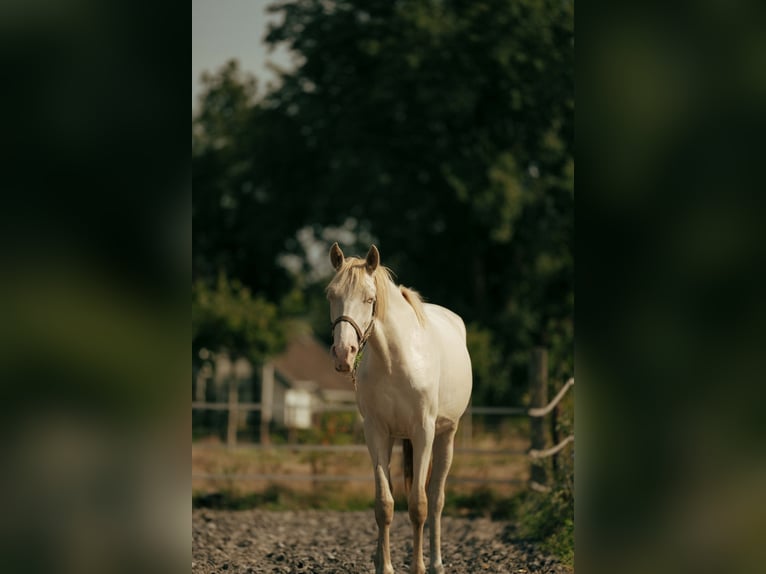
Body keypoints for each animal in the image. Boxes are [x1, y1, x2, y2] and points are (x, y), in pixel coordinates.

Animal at [326, 244, 472, 574]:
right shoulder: (376, 432)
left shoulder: (423, 432)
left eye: (369, 298)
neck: (395, 358)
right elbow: (384, 504)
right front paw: (385, 566)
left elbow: (419, 505)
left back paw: (436, 563)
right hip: (394, 438)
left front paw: (417, 567)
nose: (343, 354)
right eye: (331, 295)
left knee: (436, 497)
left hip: (445, 436)